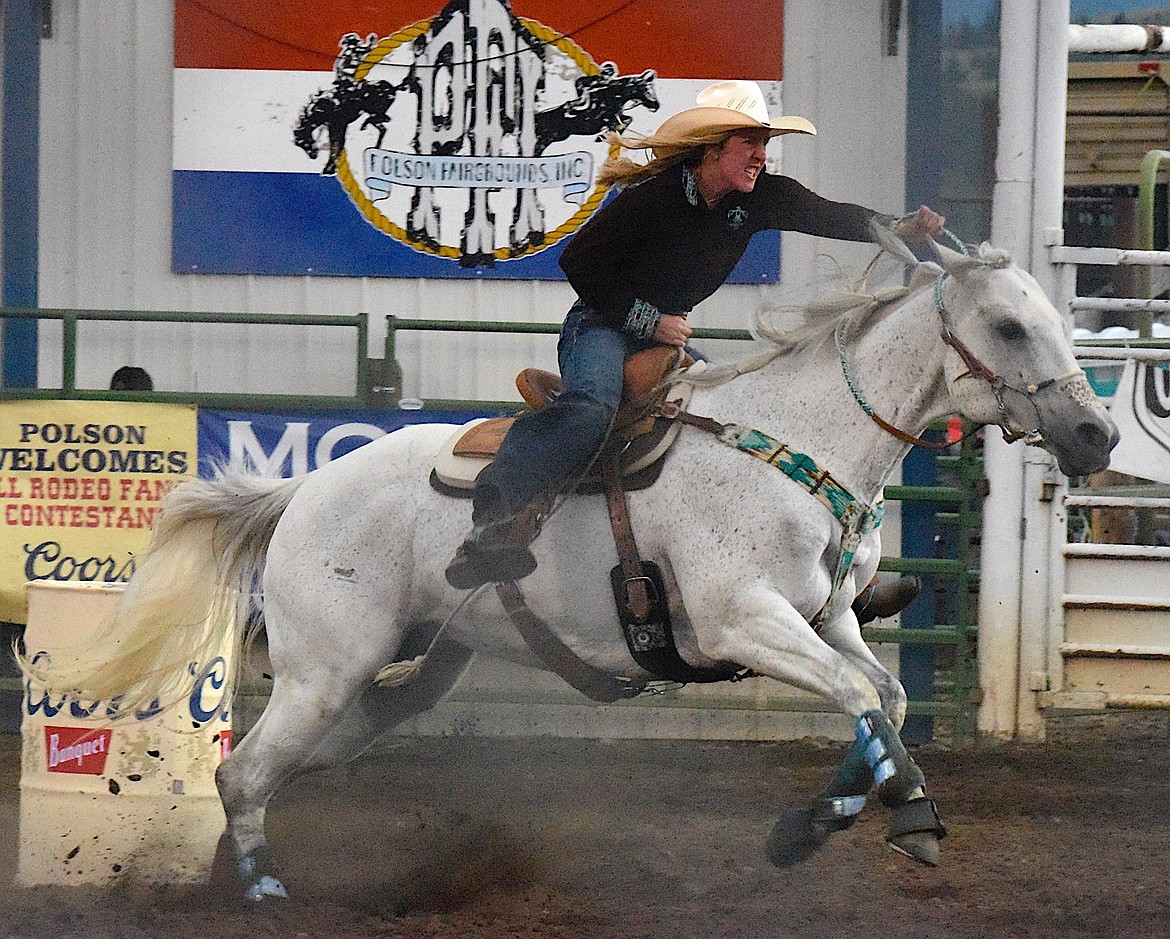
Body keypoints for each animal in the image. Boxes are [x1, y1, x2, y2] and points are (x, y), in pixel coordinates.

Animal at [18, 238, 1113, 898]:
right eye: (1009, 325)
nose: (1095, 434)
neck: (795, 439)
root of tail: (301, 493)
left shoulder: (825, 616)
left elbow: (882, 693)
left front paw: (817, 824)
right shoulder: (743, 620)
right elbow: (857, 694)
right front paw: (907, 816)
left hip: (397, 676)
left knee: (269, 768)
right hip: (325, 668)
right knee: (244, 769)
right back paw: (260, 890)